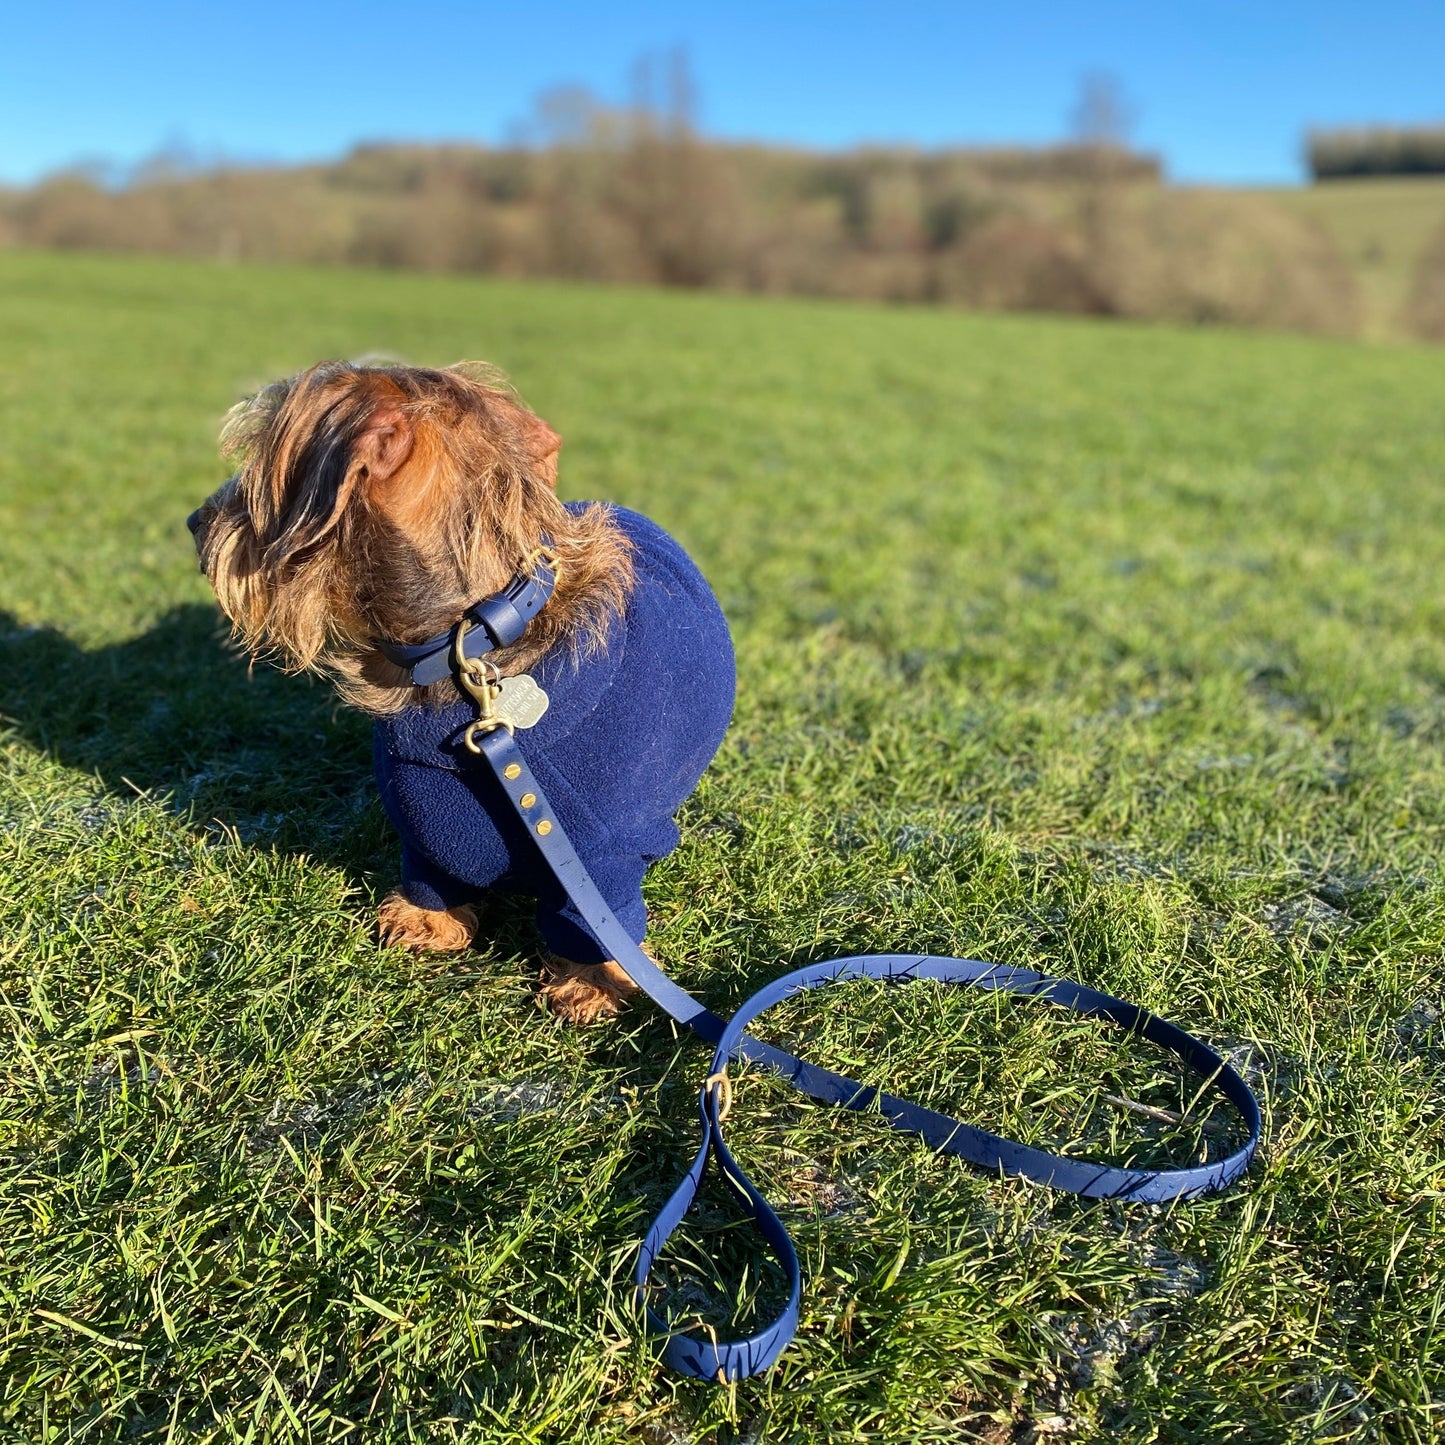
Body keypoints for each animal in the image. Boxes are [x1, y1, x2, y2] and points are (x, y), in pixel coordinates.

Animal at [190, 355, 734, 1023]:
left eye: (257, 459)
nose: (193, 524)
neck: (473, 643)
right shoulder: (426, 836)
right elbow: (432, 873)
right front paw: (425, 923)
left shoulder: (603, 863)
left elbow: (596, 925)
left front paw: (590, 983)